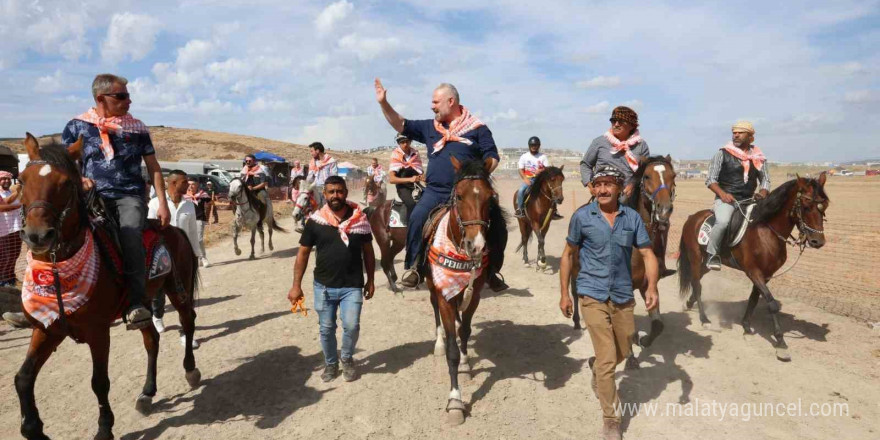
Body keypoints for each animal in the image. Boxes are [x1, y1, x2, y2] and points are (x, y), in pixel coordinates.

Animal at [13, 134, 200, 440]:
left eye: (66, 183)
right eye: (20, 179)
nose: (37, 236)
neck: (59, 275)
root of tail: (173, 228)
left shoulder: (98, 332)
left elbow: (99, 381)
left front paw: (104, 428)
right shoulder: (47, 328)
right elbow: (23, 378)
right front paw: (33, 429)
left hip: (178, 290)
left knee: (188, 321)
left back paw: (191, 370)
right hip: (144, 302)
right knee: (152, 339)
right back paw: (147, 393)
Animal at [424, 156, 496, 426]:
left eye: (489, 197)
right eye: (460, 196)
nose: (476, 245)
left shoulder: (474, 294)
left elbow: (464, 331)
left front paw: (465, 364)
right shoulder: (444, 293)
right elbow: (452, 351)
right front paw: (455, 401)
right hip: (432, 286)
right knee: (436, 311)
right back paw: (438, 343)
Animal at [676, 174, 828, 362]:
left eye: (824, 206)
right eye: (806, 206)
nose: (817, 241)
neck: (766, 232)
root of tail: (692, 218)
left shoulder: (766, 274)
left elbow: (754, 299)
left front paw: (746, 327)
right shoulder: (754, 272)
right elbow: (771, 303)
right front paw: (781, 343)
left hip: (707, 263)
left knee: (696, 279)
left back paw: (689, 304)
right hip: (696, 258)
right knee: (697, 284)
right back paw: (704, 319)